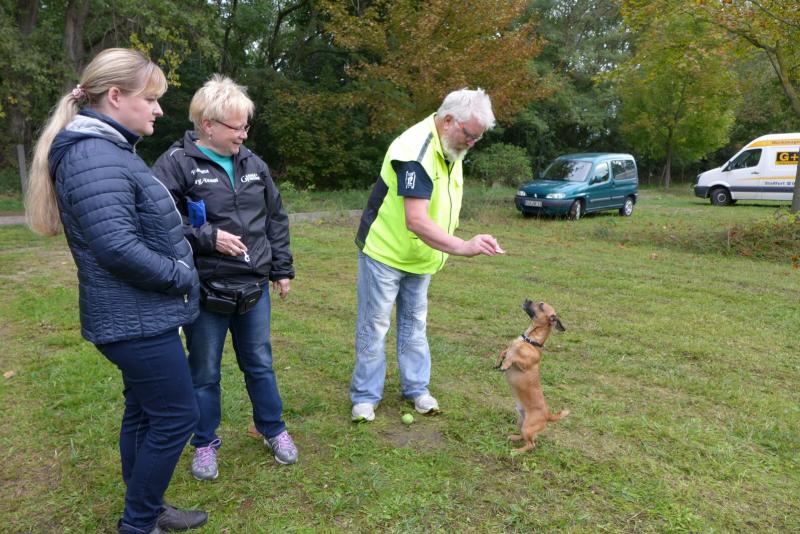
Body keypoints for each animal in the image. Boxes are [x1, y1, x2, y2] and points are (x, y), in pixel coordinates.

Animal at [494, 299, 568, 453]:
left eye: (541, 305)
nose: (527, 299)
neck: (529, 340)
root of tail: (548, 415)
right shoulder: (508, 349)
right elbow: (504, 351)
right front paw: (498, 362)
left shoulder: (524, 365)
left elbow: (513, 357)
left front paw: (505, 365)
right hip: (521, 422)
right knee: (526, 438)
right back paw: (514, 437)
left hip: (528, 427)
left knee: (531, 445)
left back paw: (516, 451)